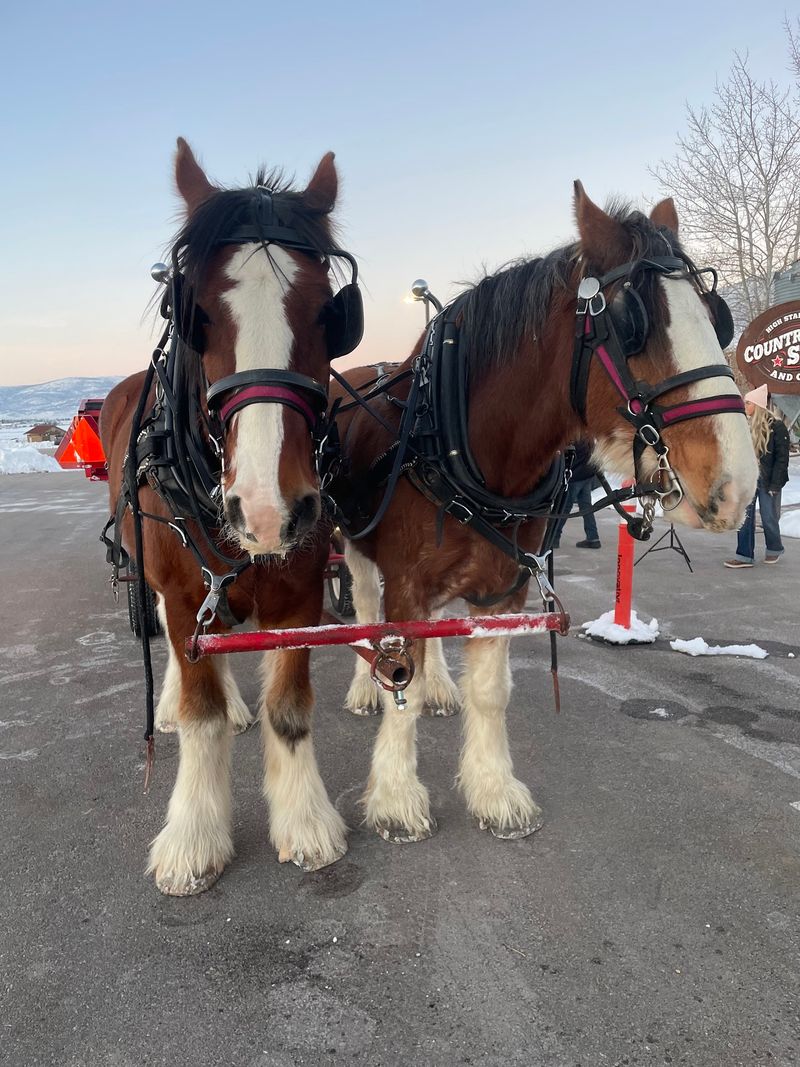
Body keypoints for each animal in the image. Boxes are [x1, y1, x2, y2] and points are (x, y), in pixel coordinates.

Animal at [101, 139, 362, 895]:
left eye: (328, 313)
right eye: (198, 315)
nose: (270, 509)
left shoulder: (300, 593)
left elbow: (290, 707)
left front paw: (305, 822)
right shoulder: (185, 593)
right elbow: (200, 714)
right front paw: (193, 836)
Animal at [329, 186, 758, 846]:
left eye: (717, 318)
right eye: (631, 324)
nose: (739, 486)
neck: (460, 442)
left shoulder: (504, 586)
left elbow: (489, 691)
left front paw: (494, 793)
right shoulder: (406, 581)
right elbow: (400, 673)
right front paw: (397, 800)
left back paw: (440, 687)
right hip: (351, 541)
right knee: (366, 608)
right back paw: (365, 687)